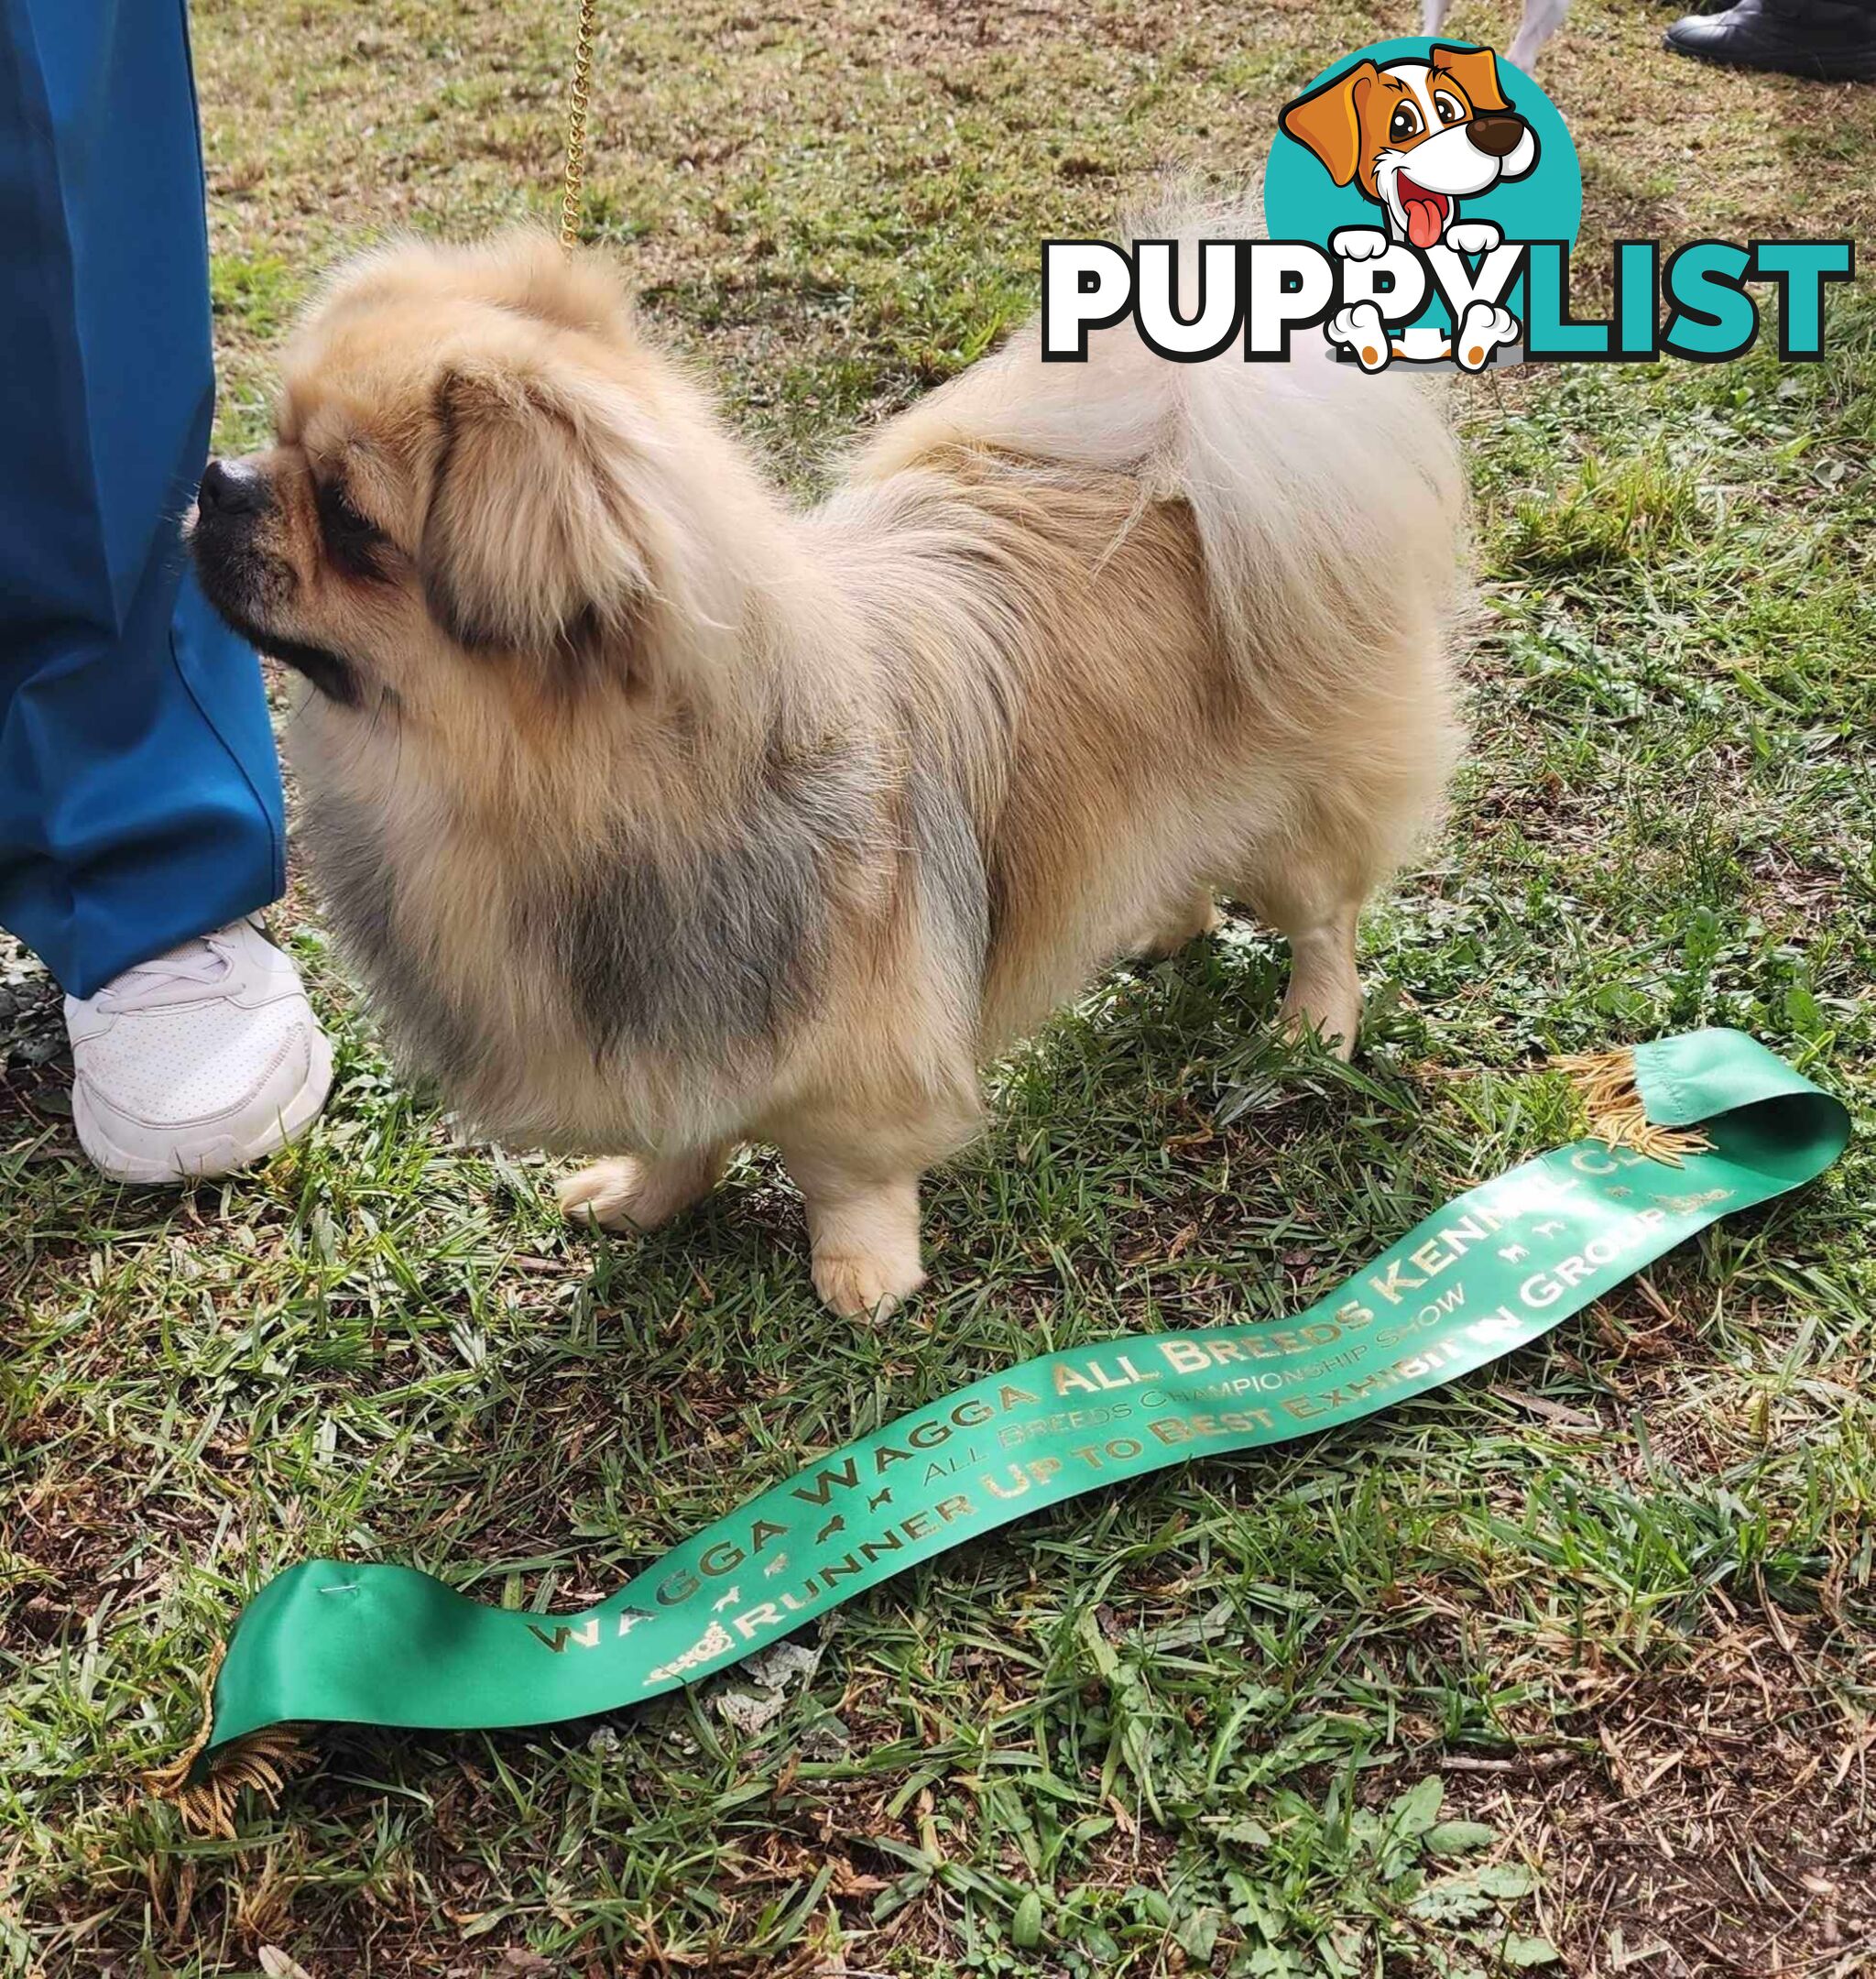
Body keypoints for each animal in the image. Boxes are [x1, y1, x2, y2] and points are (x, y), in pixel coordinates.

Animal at [191, 224, 1464, 1314]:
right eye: (273, 435)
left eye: (351, 521)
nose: (216, 479)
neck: (563, 790)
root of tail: (1189, 462)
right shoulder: (678, 1032)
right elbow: (680, 1135)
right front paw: (643, 1199)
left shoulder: (860, 1053)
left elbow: (844, 1169)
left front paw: (860, 1269)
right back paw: (1160, 923)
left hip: (1298, 820)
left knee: (1322, 919)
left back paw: (1310, 1025)